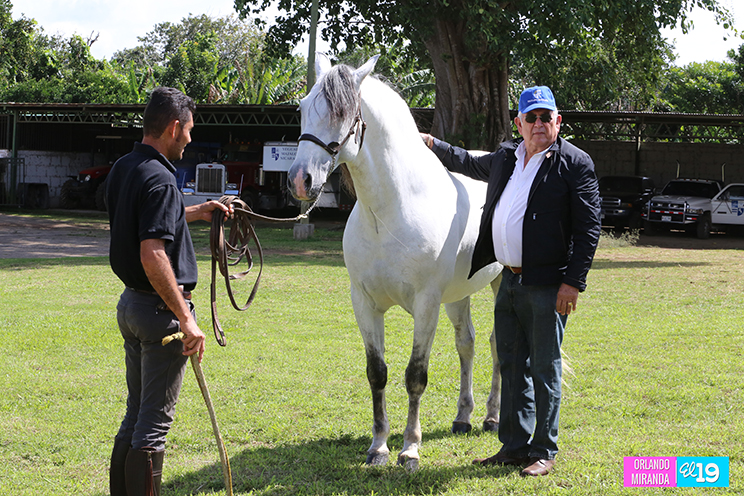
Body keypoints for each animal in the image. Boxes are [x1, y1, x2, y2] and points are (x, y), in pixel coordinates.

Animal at [288, 53, 503, 470]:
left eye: (343, 113)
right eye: (303, 107)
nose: (300, 180)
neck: (390, 211)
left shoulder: (426, 305)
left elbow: (415, 375)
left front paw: (410, 449)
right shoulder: (365, 303)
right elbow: (378, 373)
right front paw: (378, 446)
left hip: (502, 285)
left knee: (498, 343)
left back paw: (491, 417)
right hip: (459, 295)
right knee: (466, 344)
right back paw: (463, 417)